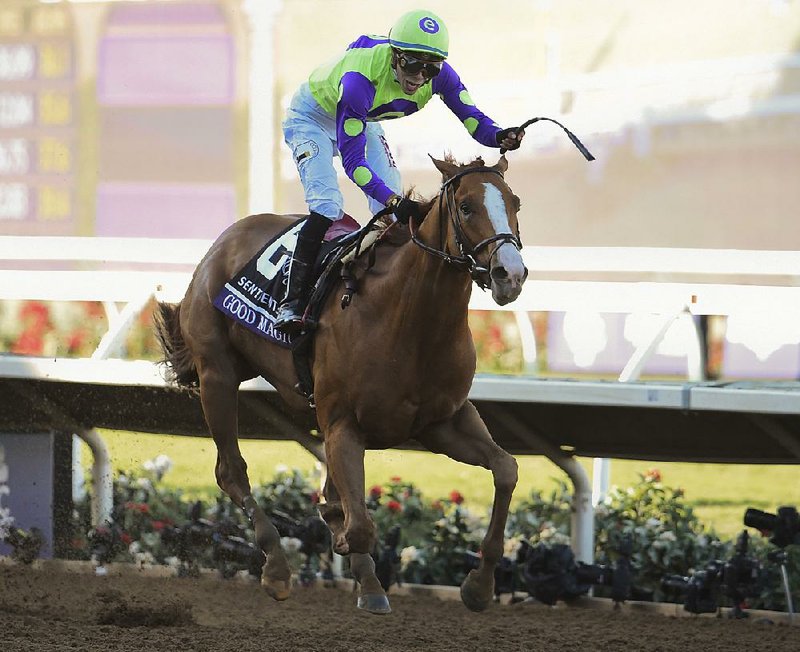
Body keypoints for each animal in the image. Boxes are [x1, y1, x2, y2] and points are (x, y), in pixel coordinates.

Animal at [158, 155, 532, 612]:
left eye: (515, 202)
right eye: (465, 206)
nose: (510, 274)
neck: (409, 318)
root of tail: (225, 239)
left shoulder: (444, 421)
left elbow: (506, 469)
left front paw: (479, 585)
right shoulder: (342, 423)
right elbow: (360, 525)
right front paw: (368, 584)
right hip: (217, 373)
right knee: (231, 471)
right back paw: (276, 566)